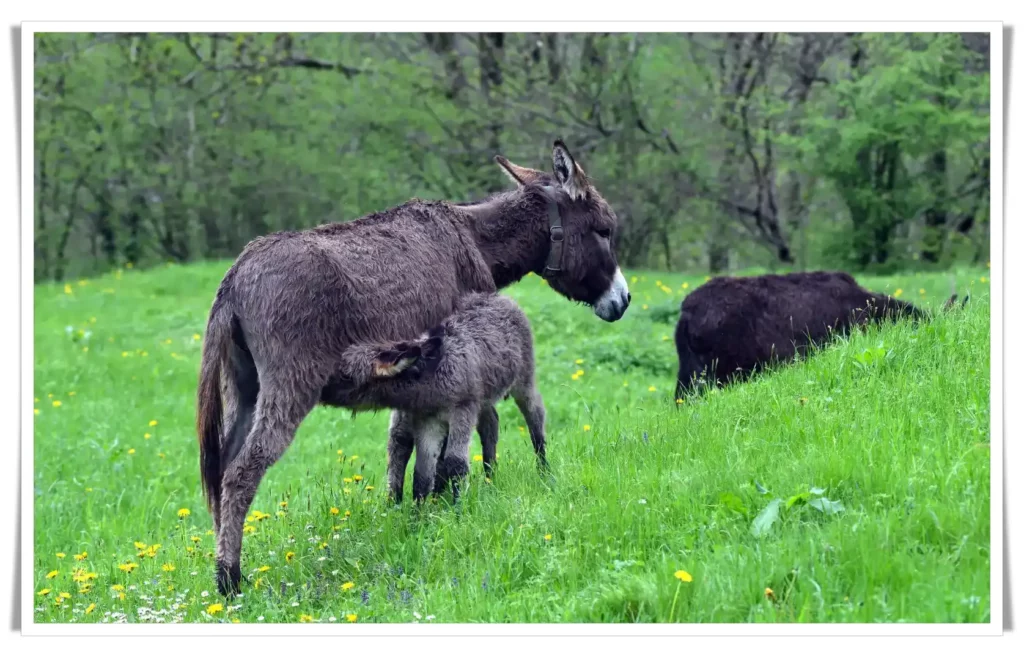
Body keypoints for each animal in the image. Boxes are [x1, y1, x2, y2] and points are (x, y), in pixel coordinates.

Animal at [337, 290, 548, 501]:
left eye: (347, 376)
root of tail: (500, 298)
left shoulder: (461, 411)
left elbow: (454, 462)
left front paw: (457, 507)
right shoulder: (424, 419)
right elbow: (414, 464)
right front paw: (411, 505)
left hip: (524, 379)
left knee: (535, 416)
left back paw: (545, 472)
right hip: (483, 398)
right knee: (490, 424)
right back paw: (490, 480)